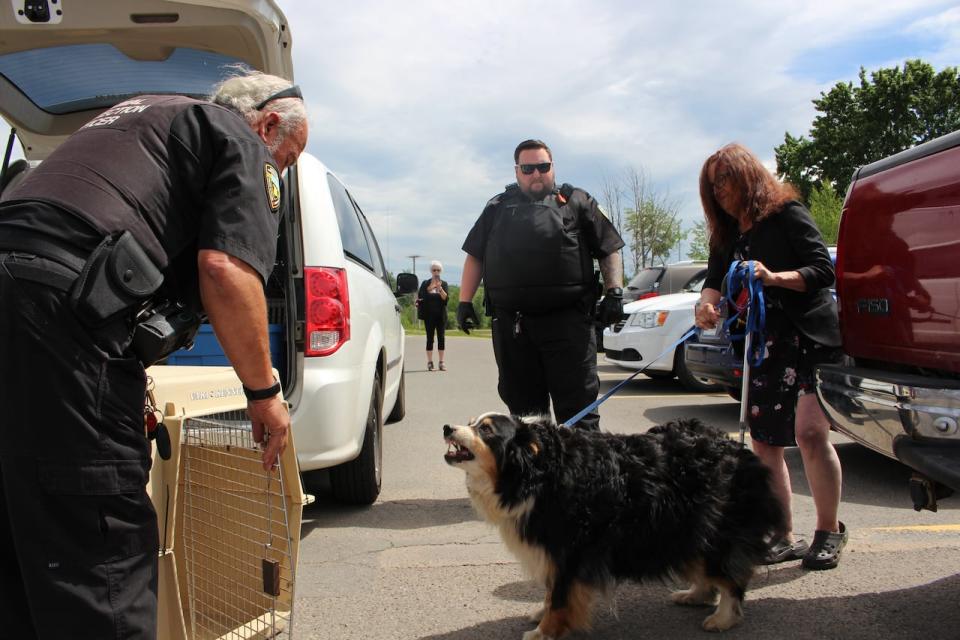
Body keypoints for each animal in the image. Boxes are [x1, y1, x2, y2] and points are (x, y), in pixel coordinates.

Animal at [446, 412, 784, 636]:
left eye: (486, 429)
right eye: (472, 421)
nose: (447, 427)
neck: (537, 472)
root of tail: (739, 448)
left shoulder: (572, 548)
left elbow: (560, 595)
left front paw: (544, 631)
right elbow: (552, 591)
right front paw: (542, 613)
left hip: (716, 525)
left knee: (730, 573)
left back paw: (723, 618)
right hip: (687, 529)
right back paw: (694, 594)